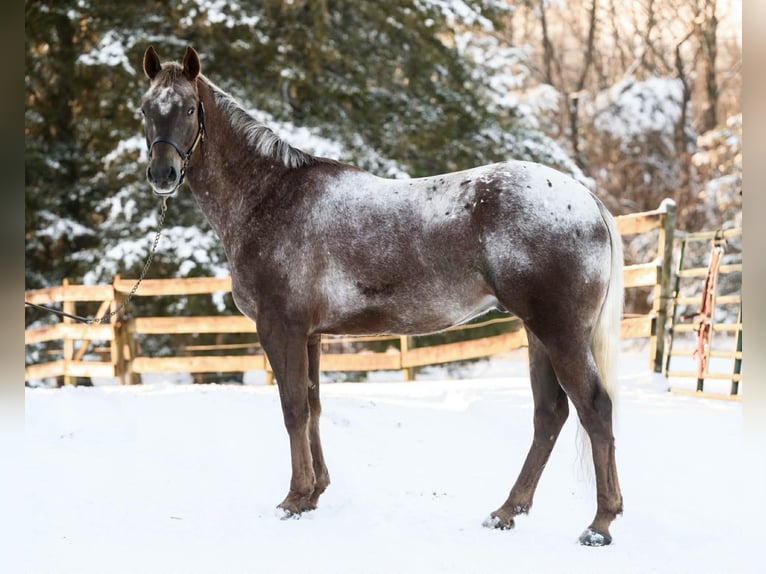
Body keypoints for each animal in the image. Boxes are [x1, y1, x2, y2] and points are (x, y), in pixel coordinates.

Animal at [140, 45, 624, 546]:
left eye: (190, 109)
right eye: (145, 109)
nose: (162, 174)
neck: (271, 197)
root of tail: (587, 200)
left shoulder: (281, 329)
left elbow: (293, 409)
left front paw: (293, 499)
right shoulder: (310, 335)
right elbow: (314, 407)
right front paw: (314, 493)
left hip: (560, 333)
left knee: (595, 409)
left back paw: (599, 524)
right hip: (537, 333)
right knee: (550, 415)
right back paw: (507, 511)